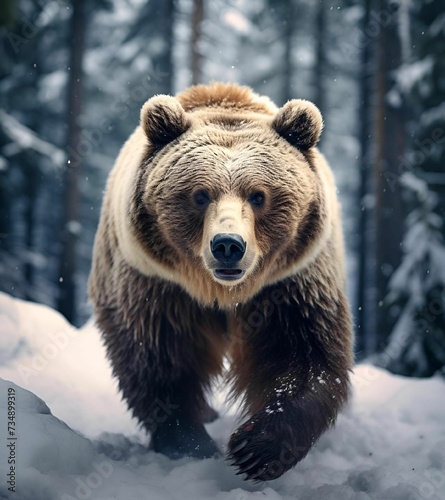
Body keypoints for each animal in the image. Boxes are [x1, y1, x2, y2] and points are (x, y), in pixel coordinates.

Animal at [89, 82, 354, 480]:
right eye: (200, 195)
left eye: (259, 195)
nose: (228, 245)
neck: (222, 292)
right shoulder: (158, 285)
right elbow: (161, 356)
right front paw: (189, 441)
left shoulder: (290, 284)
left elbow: (301, 354)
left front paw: (256, 449)